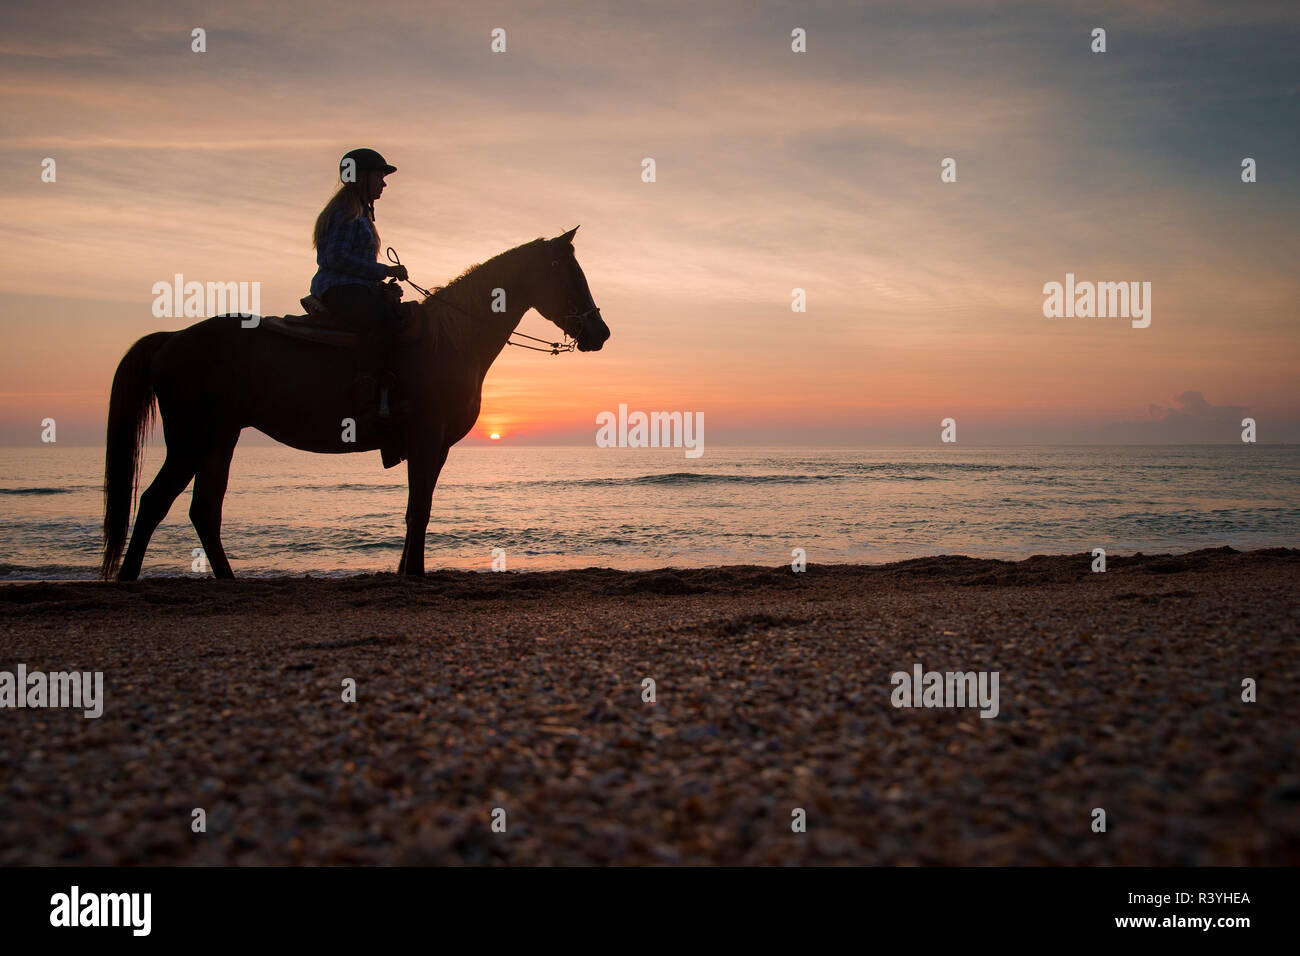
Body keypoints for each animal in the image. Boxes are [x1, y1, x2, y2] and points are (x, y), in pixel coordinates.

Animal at [101, 227, 608, 580]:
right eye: (570, 274)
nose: (600, 332)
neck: (450, 339)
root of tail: (171, 338)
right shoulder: (426, 438)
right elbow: (419, 508)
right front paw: (414, 573)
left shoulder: (435, 446)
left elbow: (416, 507)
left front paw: (406, 570)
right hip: (191, 440)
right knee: (154, 501)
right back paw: (128, 579)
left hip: (219, 440)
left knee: (204, 510)